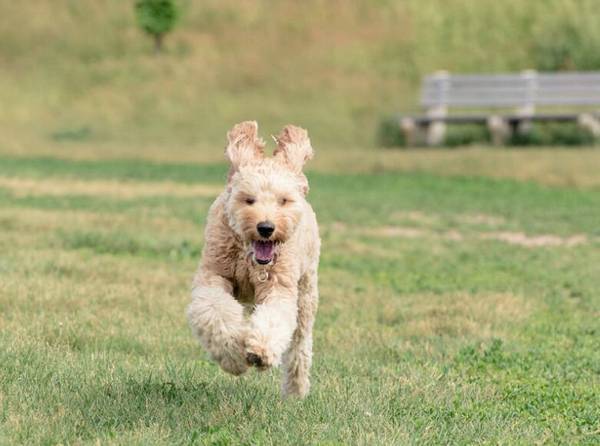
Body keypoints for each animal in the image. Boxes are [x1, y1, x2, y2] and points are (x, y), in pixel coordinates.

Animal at [188, 121, 322, 398]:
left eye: (283, 201)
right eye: (249, 199)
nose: (266, 227)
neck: (249, 258)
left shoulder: (279, 286)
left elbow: (275, 318)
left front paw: (260, 351)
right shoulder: (214, 275)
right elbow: (215, 310)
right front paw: (234, 356)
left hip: (306, 291)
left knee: (300, 342)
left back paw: (296, 390)